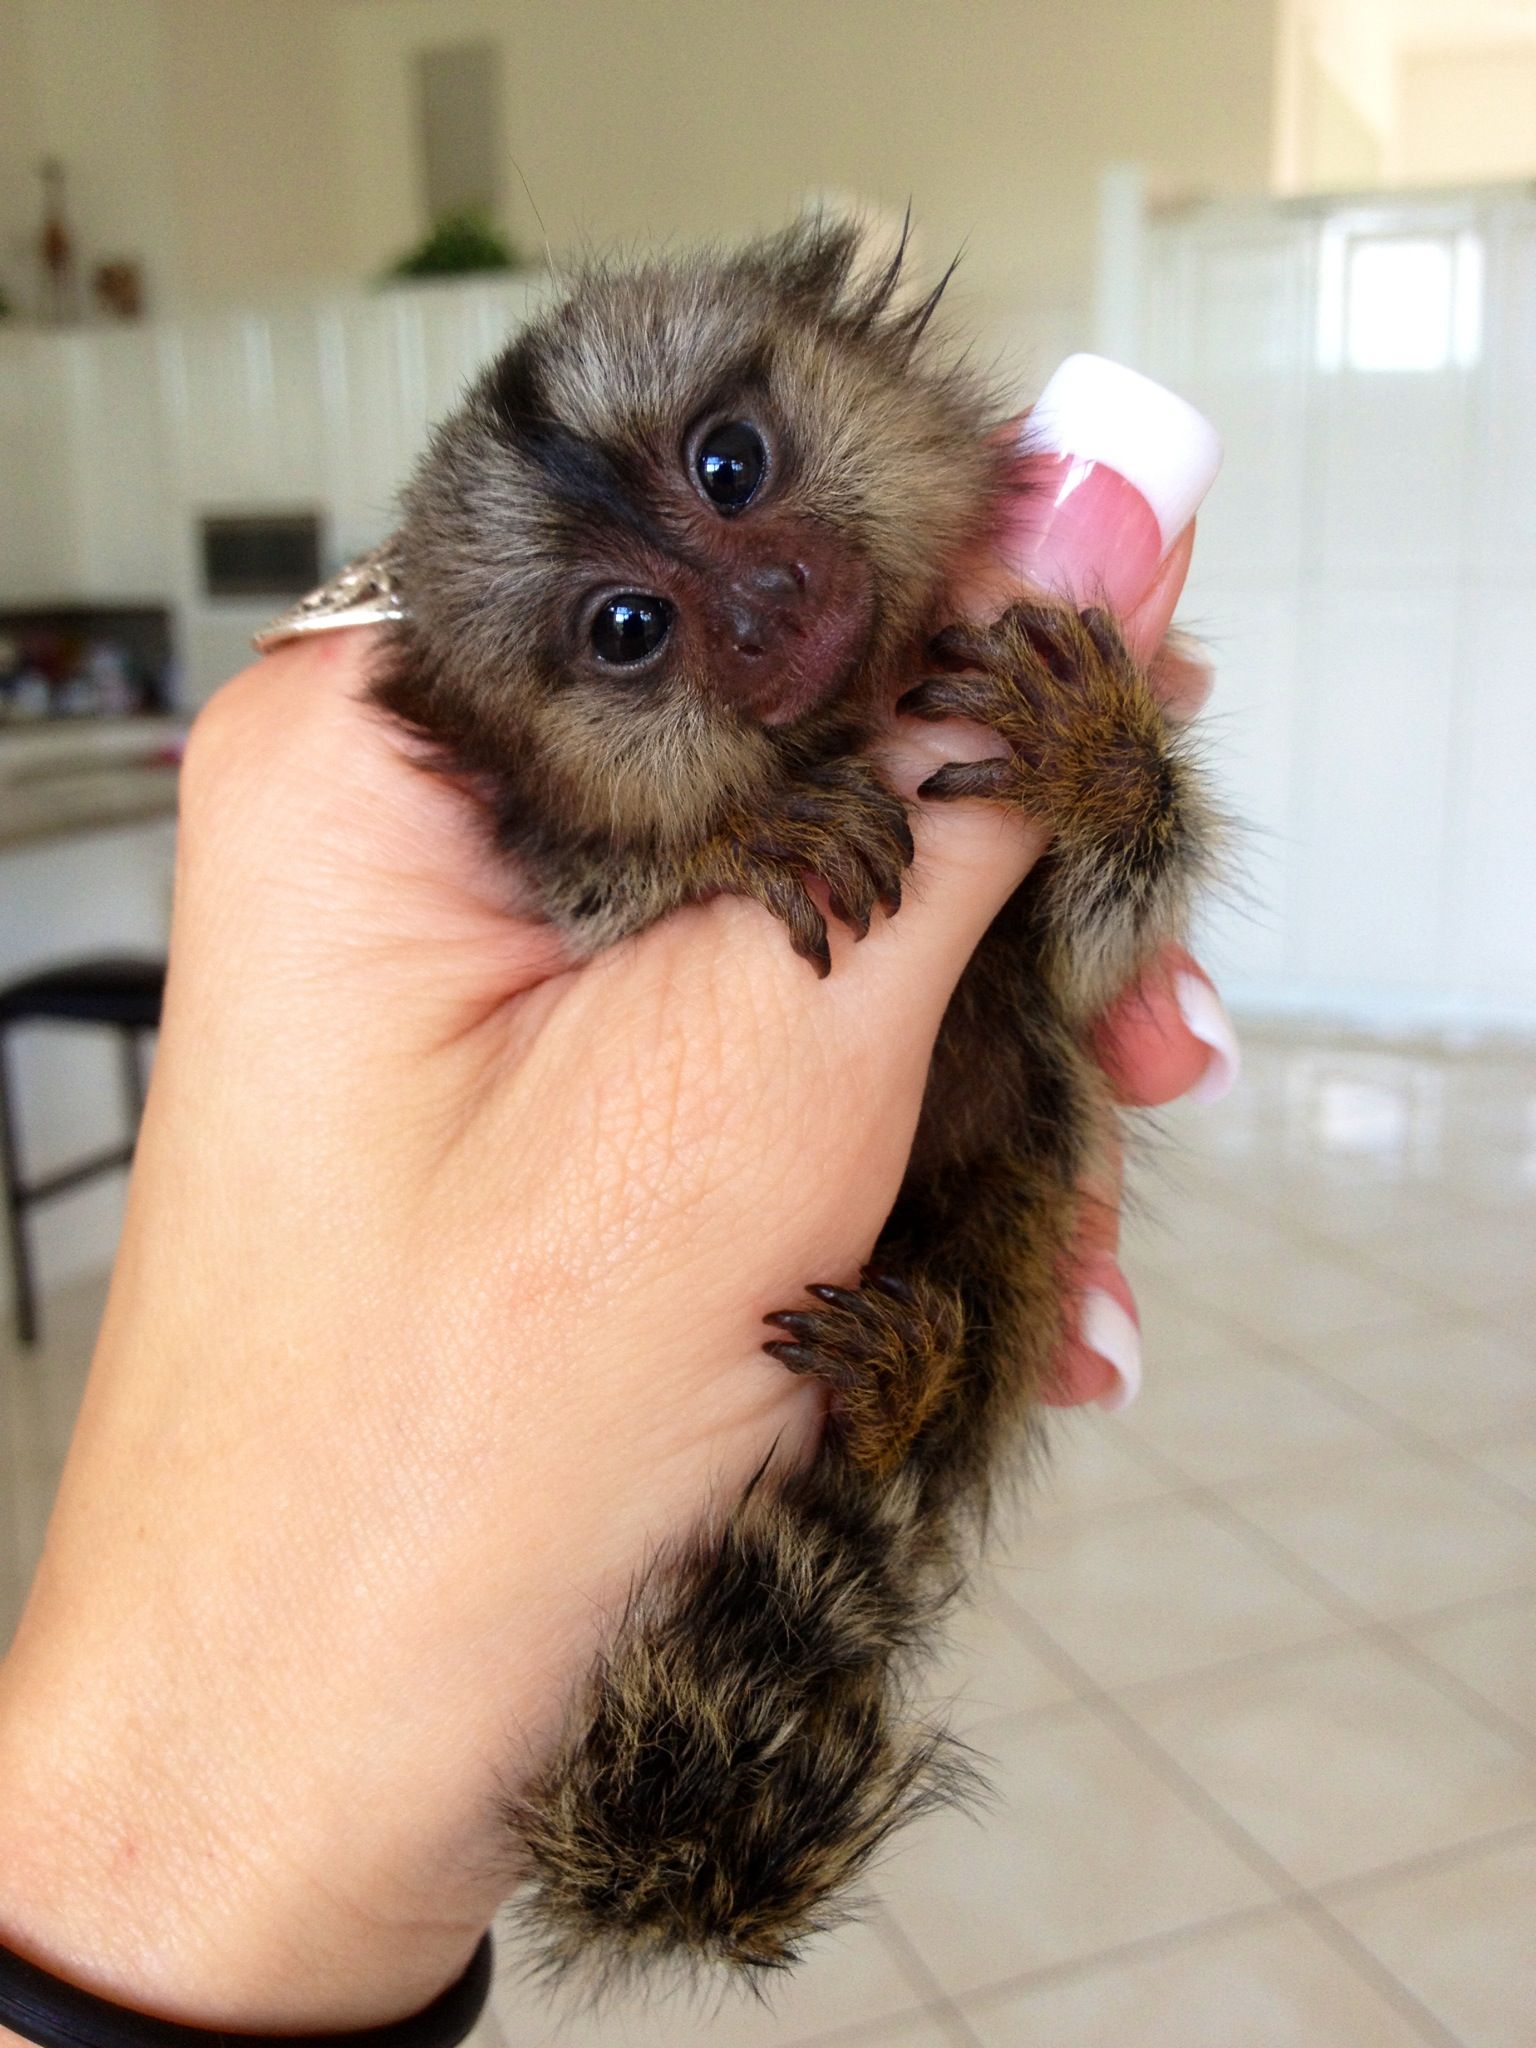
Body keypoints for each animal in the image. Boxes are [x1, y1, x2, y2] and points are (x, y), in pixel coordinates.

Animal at [364, 215, 1214, 1986]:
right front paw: (727, 841)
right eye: (629, 630)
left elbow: (1096, 961)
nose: (761, 601)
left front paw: (1100, 759)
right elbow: (612, 886)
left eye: (729, 465)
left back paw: (907, 1397)